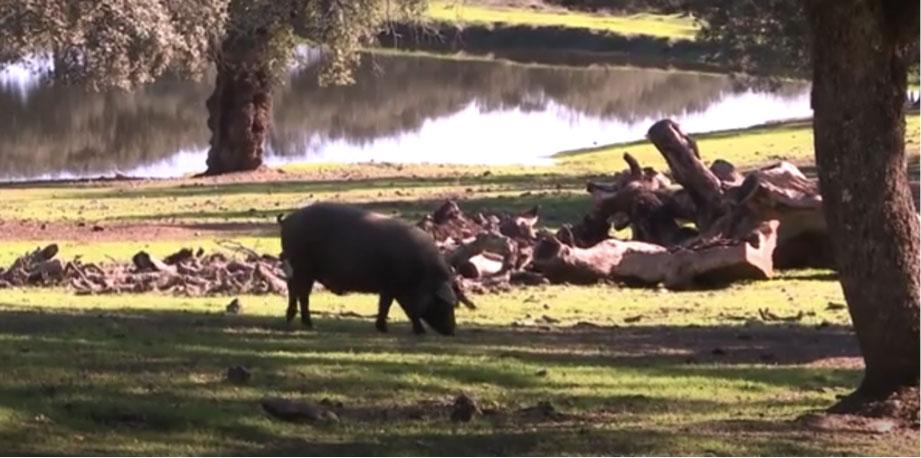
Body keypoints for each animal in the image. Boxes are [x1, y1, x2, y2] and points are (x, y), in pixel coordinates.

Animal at [276, 202, 456, 334]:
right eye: (444, 304)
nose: (452, 331)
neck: (424, 274)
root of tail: (288, 220)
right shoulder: (396, 288)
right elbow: (402, 309)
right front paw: (417, 331)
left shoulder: (390, 288)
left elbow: (386, 306)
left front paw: (382, 328)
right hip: (302, 266)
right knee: (300, 292)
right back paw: (308, 324)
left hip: (302, 269)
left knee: (296, 291)